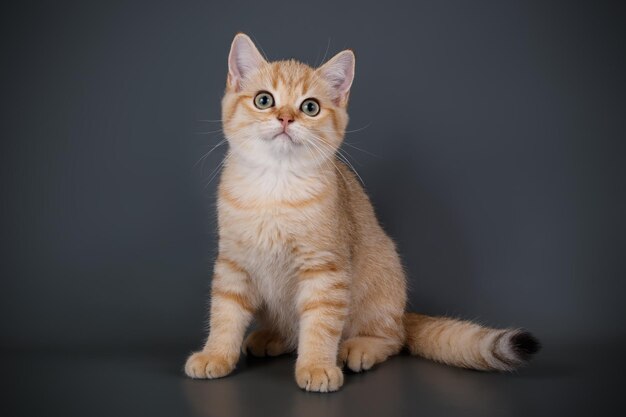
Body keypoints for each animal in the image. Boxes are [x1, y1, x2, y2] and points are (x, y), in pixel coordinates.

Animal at [183, 34, 540, 392]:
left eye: (310, 107)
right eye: (263, 100)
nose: (285, 118)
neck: (276, 187)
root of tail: (402, 313)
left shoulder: (326, 269)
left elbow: (320, 324)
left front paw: (316, 366)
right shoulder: (233, 262)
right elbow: (225, 313)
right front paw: (215, 355)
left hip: (383, 277)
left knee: (393, 338)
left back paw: (360, 348)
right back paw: (271, 338)